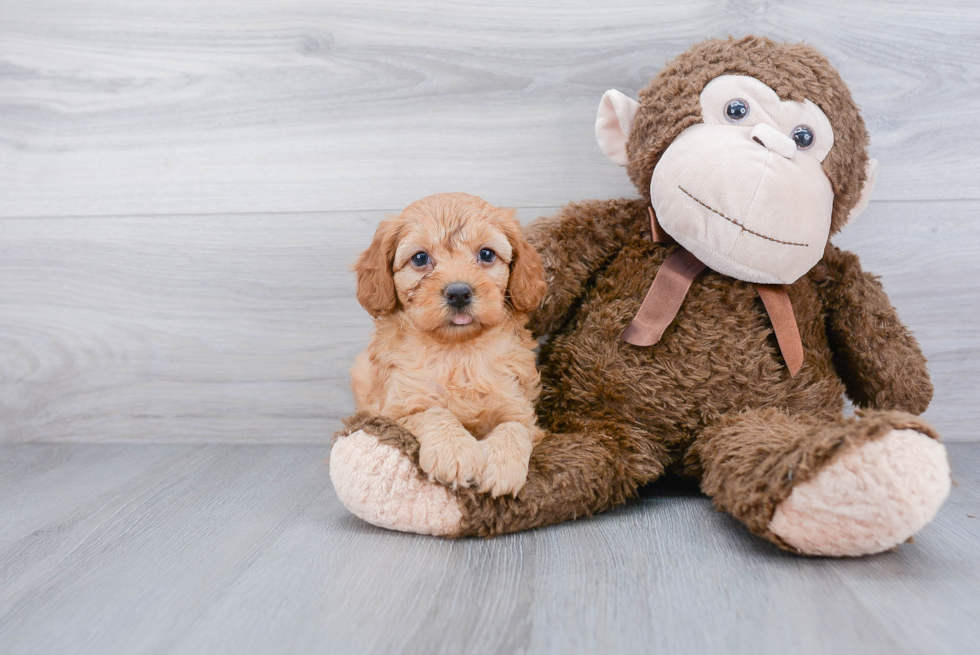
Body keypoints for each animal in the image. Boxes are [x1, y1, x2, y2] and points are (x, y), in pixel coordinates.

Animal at [352, 193, 548, 498]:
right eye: (420, 258)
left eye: (487, 254)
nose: (458, 292)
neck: (458, 351)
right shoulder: (397, 411)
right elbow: (434, 413)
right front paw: (455, 452)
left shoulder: (518, 404)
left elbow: (514, 427)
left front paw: (502, 466)